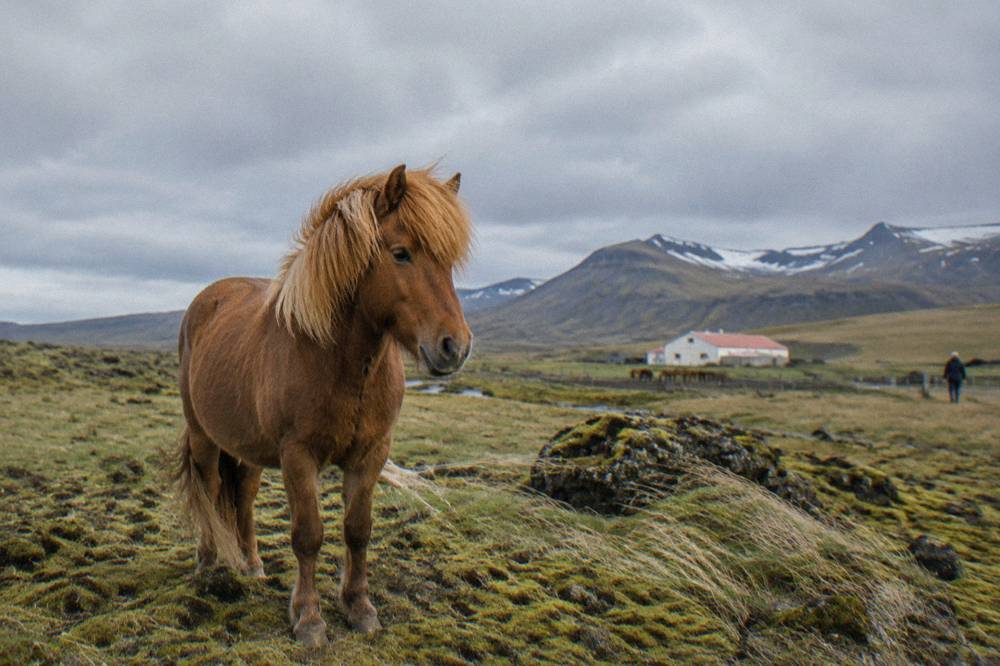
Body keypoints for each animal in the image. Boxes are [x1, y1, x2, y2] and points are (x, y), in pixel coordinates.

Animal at [173, 164, 472, 647]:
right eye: (401, 253)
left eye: (447, 262)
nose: (455, 347)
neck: (339, 362)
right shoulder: (299, 455)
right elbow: (308, 535)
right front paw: (309, 619)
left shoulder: (371, 454)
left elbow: (358, 530)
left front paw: (359, 607)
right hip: (204, 436)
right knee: (209, 489)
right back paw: (208, 562)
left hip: (248, 448)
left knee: (244, 497)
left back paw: (251, 564)